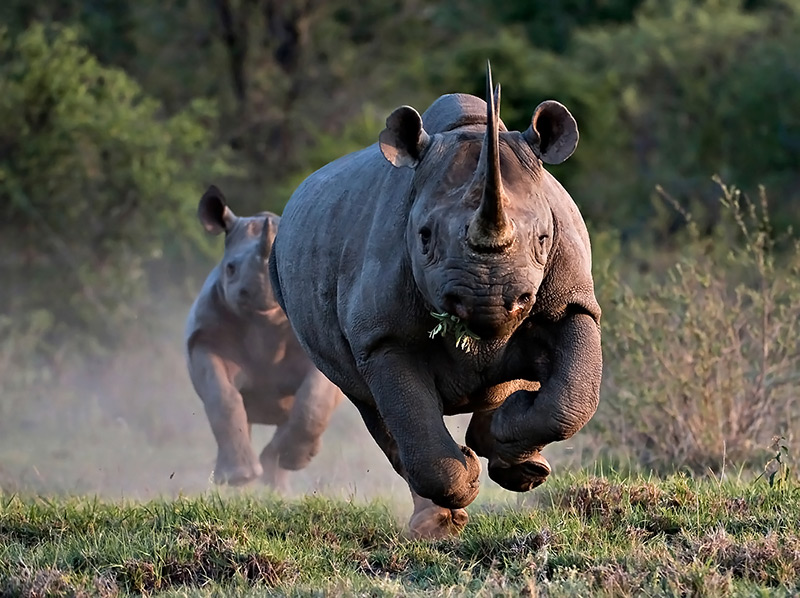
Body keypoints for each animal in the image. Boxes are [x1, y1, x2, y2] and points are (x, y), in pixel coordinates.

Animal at [185, 185, 342, 490]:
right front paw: (238, 477)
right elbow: (222, 395)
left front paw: (293, 459)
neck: (265, 324)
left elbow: (313, 397)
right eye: (230, 268)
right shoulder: (205, 339)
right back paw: (240, 481)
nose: (258, 292)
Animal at [269, 66, 601, 537]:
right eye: (424, 238)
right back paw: (438, 521)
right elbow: (410, 417)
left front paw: (510, 445)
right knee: (372, 406)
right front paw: (465, 480)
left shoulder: (571, 302)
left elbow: (572, 397)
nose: (490, 300)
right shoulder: (382, 335)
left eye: (542, 238)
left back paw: (515, 462)